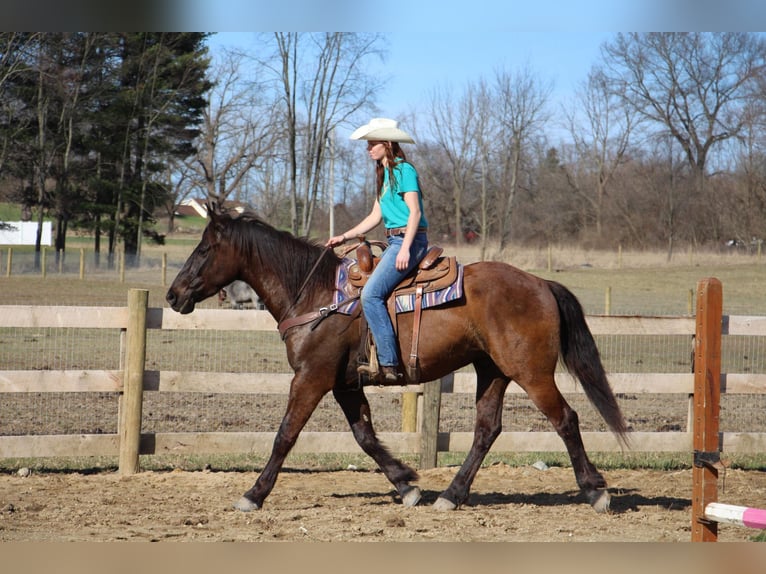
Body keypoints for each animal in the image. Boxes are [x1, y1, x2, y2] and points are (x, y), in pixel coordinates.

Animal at [166, 205, 632, 516]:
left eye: (204, 249)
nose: (173, 295)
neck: (315, 293)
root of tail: (540, 283)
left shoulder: (311, 378)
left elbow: (285, 435)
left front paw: (254, 494)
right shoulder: (345, 383)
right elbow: (365, 437)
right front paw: (406, 483)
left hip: (531, 373)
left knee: (566, 420)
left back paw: (596, 492)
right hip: (493, 371)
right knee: (486, 430)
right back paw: (451, 495)